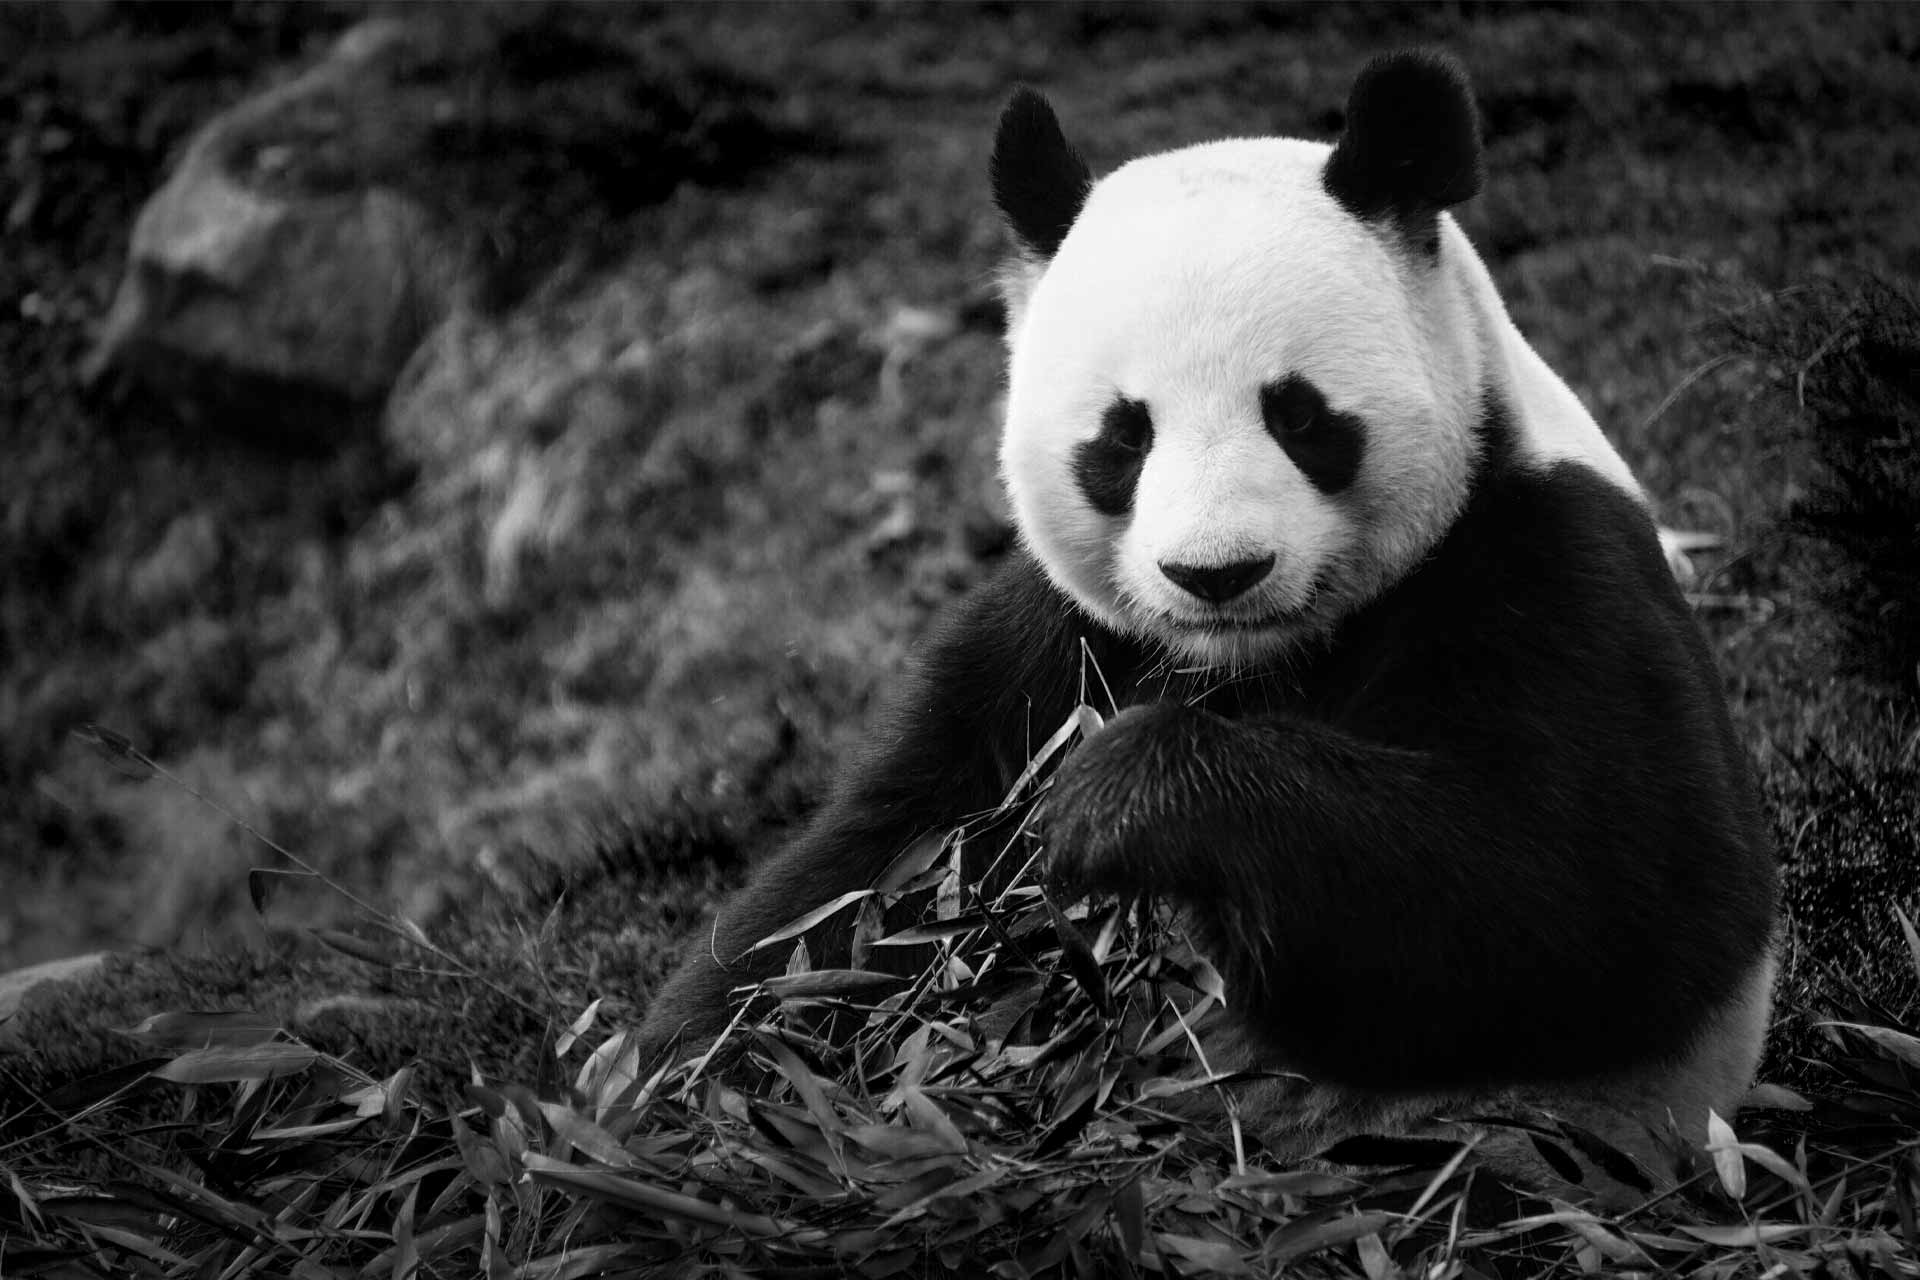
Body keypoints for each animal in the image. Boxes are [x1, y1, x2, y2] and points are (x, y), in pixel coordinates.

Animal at [638, 51, 1779, 1199]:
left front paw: (1113, 804)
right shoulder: (1054, 647)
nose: (1216, 573)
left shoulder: (1549, 567)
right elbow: (861, 881)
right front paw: (685, 1088)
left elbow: (1597, 893)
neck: (1248, 660)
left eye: (1300, 414)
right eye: (1123, 435)